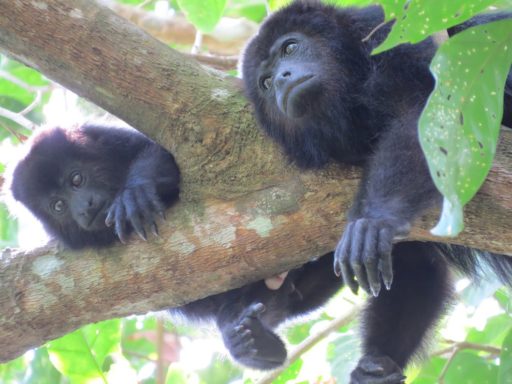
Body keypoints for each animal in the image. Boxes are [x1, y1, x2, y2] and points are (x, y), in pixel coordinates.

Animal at [7, 124, 340, 370]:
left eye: (76, 179)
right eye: (58, 206)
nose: (84, 208)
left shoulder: (111, 136)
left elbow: (166, 154)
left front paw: (136, 190)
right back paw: (255, 344)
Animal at [241, 1, 512, 382]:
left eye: (290, 48)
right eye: (264, 82)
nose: (280, 79)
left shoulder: (388, 34)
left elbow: (421, 115)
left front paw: (374, 220)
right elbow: (415, 267)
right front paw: (377, 364)